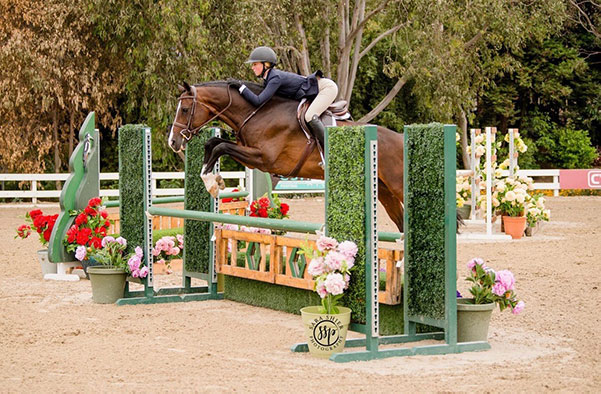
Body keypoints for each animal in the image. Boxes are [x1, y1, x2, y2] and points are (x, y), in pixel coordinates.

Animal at [166, 81, 406, 232]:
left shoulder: (264, 159)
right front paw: (213, 179)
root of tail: (401, 138)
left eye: (185, 109)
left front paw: (213, 184)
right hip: (384, 192)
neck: (257, 112)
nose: (173, 142)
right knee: (401, 224)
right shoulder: (250, 154)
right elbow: (214, 144)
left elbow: (220, 147)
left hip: (397, 186)